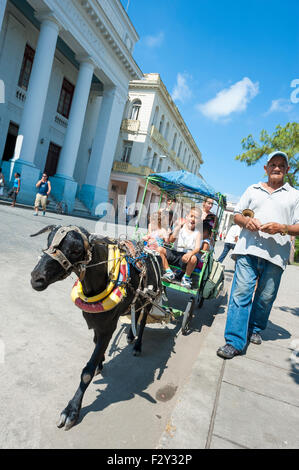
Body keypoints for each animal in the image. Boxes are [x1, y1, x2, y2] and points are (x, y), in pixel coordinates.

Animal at [29, 224, 164, 430]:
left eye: (76, 250)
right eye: (48, 241)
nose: (36, 278)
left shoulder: (108, 327)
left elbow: (87, 372)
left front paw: (71, 410)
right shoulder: (95, 321)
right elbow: (96, 345)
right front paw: (100, 362)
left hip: (150, 298)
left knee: (141, 322)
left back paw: (137, 345)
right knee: (134, 312)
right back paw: (129, 336)